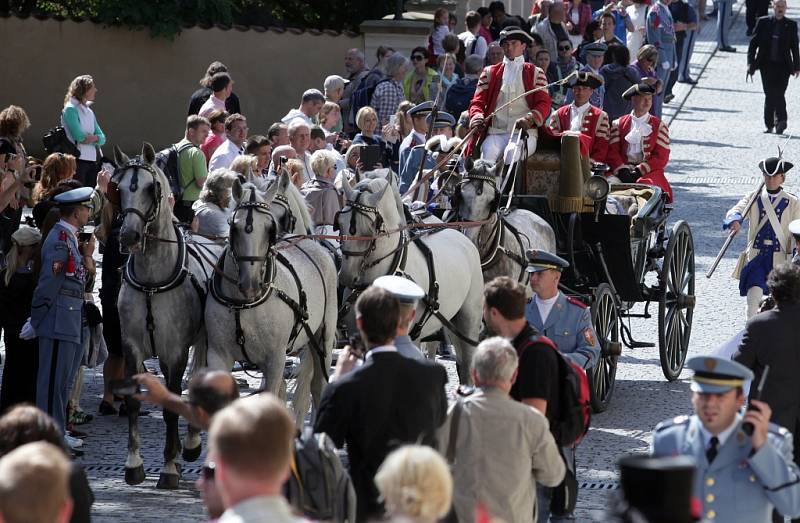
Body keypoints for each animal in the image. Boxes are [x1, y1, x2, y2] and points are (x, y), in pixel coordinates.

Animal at [112, 142, 222, 488]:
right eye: (118, 188)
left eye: (151, 188)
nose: (129, 237)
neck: (152, 281)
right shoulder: (131, 346)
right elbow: (134, 401)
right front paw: (134, 464)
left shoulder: (175, 350)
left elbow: (172, 406)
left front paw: (170, 467)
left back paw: (191, 443)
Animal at [205, 172, 336, 426]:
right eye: (234, 227)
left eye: (270, 228)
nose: (250, 284)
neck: (243, 304)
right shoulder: (218, 355)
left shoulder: (275, 358)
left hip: (323, 338)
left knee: (318, 386)